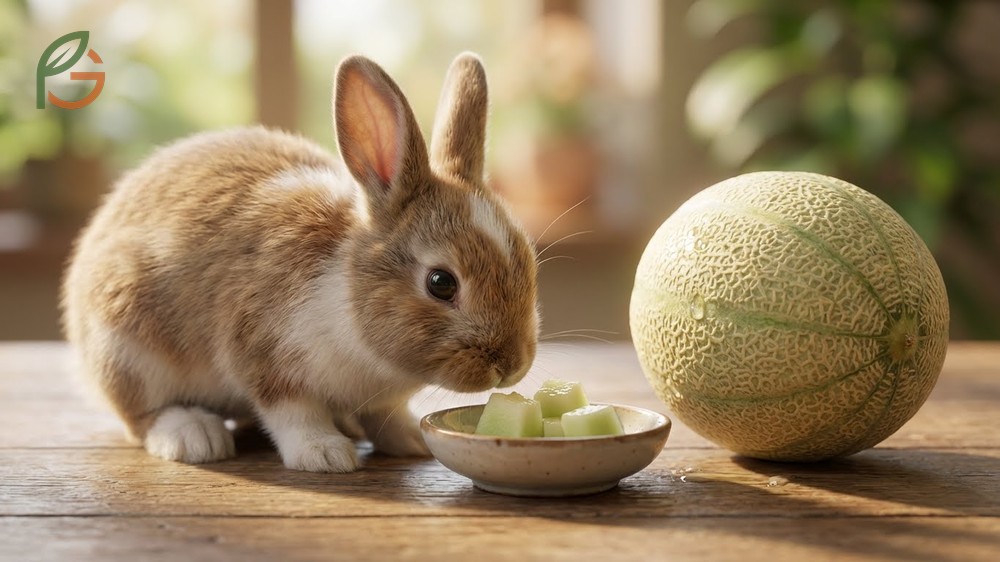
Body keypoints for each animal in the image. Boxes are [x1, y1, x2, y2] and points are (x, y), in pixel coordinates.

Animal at [61, 52, 540, 473]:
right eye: (441, 282)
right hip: (125, 347)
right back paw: (193, 436)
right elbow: (293, 413)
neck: (347, 295)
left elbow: (386, 415)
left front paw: (410, 441)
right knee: (139, 415)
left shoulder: (380, 398)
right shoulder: (264, 356)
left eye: (528, 262)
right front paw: (324, 454)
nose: (511, 365)